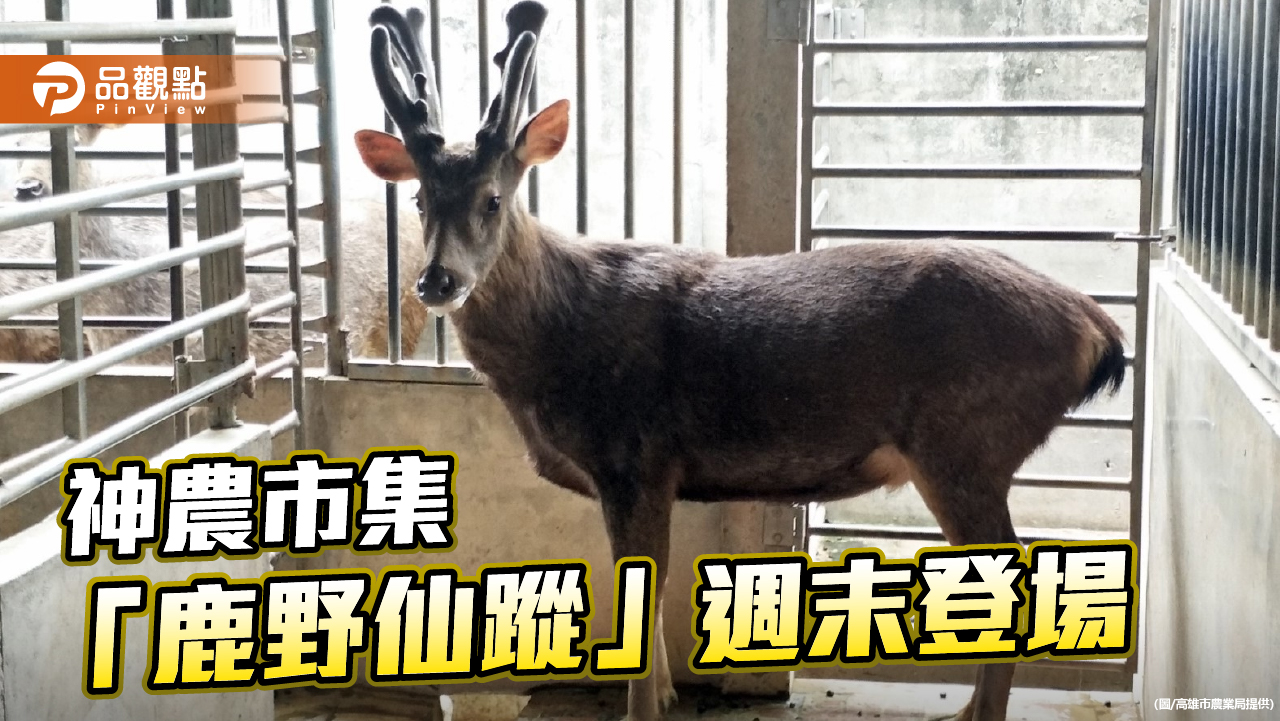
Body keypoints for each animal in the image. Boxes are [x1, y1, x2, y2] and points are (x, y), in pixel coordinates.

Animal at [356, 3, 1126, 718]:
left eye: (494, 197)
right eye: (419, 197)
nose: (437, 281)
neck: (551, 353)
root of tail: (1099, 331)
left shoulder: (635, 455)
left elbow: (643, 592)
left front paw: (646, 703)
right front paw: (669, 691)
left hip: (964, 442)